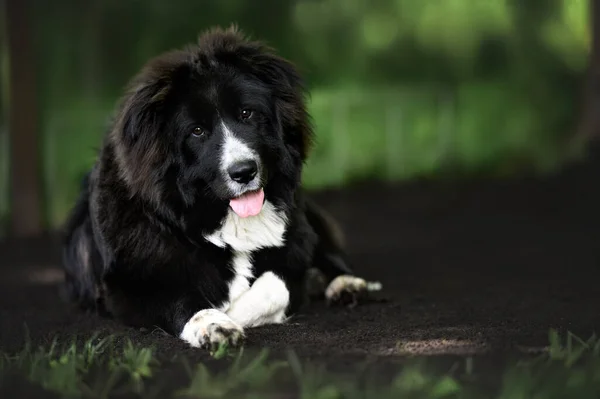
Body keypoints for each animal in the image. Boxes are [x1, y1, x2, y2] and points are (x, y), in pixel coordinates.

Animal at [61, 25, 380, 350]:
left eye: (246, 114)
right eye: (197, 131)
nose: (243, 172)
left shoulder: (293, 246)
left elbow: (276, 284)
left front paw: (238, 311)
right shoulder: (129, 283)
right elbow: (182, 298)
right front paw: (215, 323)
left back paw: (346, 284)